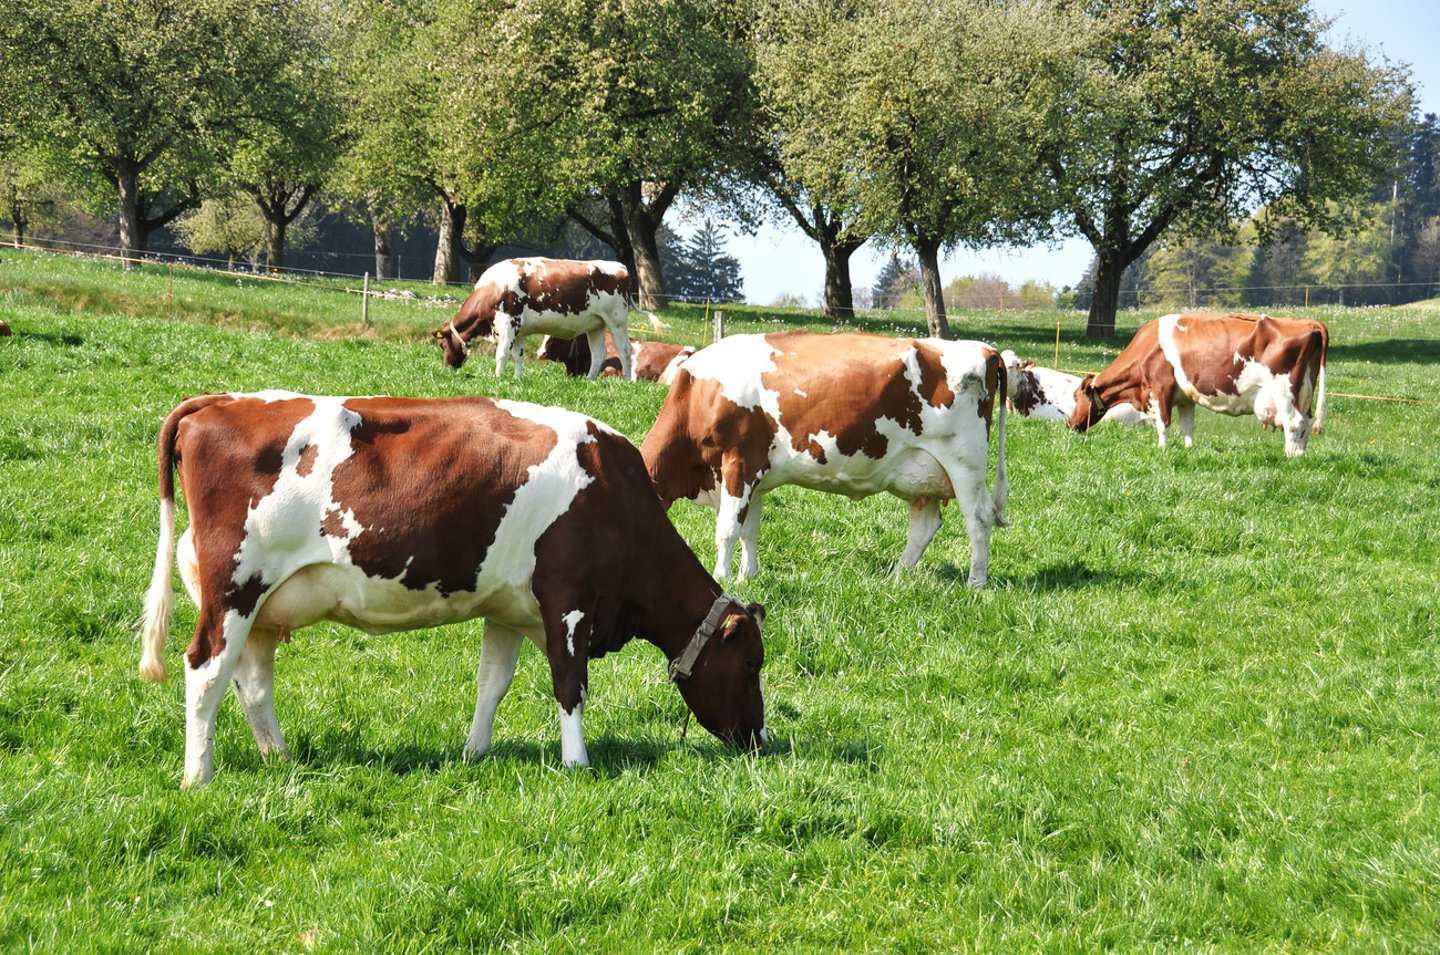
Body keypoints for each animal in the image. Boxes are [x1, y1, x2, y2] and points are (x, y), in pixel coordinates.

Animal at [138, 391, 766, 789]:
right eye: (750, 664)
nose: (760, 740)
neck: (618, 496)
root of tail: (219, 400)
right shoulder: (569, 601)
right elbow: (570, 686)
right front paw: (578, 764)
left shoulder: (511, 608)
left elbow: (493, 683)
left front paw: (474, 753)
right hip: (234, 587)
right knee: (206, 670)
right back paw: (199, 776)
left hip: (265, 605)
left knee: (251, 681)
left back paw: (280, 758)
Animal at [434, 262, 633, 386]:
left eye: (442, 344)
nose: (446, 368)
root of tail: (621, 267)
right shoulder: (519, 330)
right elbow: (518, 356)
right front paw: (516, 378)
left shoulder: (508, 322)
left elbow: (502, 354)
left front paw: (497, 378)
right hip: (596, 325)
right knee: (599, 353)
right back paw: (589, 380)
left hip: (617, 320)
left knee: (624, 349)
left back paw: (627, 380)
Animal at [642, 331, 1013, 590]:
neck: (699, 391)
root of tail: (986, 350)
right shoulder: (753, 477)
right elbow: (750, 530)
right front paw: (748, 576)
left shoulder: (739, 462)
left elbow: (728, 530)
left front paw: (721, 577)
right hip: (923, 472)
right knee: (924, 527)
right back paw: (896, 577)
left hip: (964, 463)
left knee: (979, 518)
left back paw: (976, 583)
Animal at [1071, 312, 1324, 458]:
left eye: (1075, 397)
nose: (1070, 424)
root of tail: (1308, 323)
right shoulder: (1185, 396)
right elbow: (1187, 426)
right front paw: (1188, 449)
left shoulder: (1160, 387)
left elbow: (1163, 424)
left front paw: (1162, 450)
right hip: (1304, 394)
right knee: (1306, 422)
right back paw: (1300, 454)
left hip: (1284, 393)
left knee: (1293, 423)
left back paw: (1289, 456)